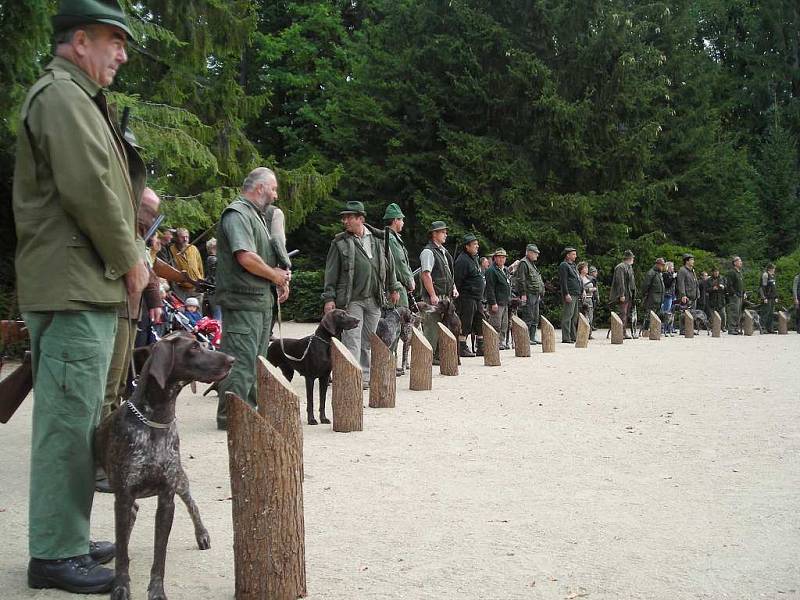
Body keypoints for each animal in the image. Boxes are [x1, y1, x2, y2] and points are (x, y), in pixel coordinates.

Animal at [95, 332, 234, 600]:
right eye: (194, 347)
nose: (232, 359)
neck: (155, 420)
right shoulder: (124, 496)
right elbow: (123, 555)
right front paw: (121, 586)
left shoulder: (167, 498)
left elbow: (160, 555)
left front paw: (157, 591)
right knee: (131, 517)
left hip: (180, 480)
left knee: (192, 504)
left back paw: (202, 534)